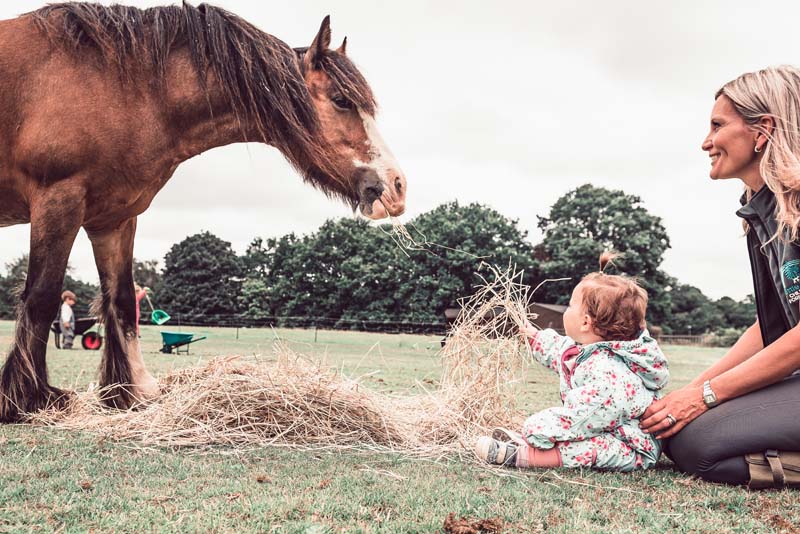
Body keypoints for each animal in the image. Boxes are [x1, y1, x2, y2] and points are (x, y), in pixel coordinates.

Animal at [0, 2, 410, 426]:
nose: (396, 186)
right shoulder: (59, 199)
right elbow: (42, 297)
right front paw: (26, 399)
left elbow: (123, 301)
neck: (119, 86)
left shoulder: (113, 218)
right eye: (342, 100)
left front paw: (131, 392)